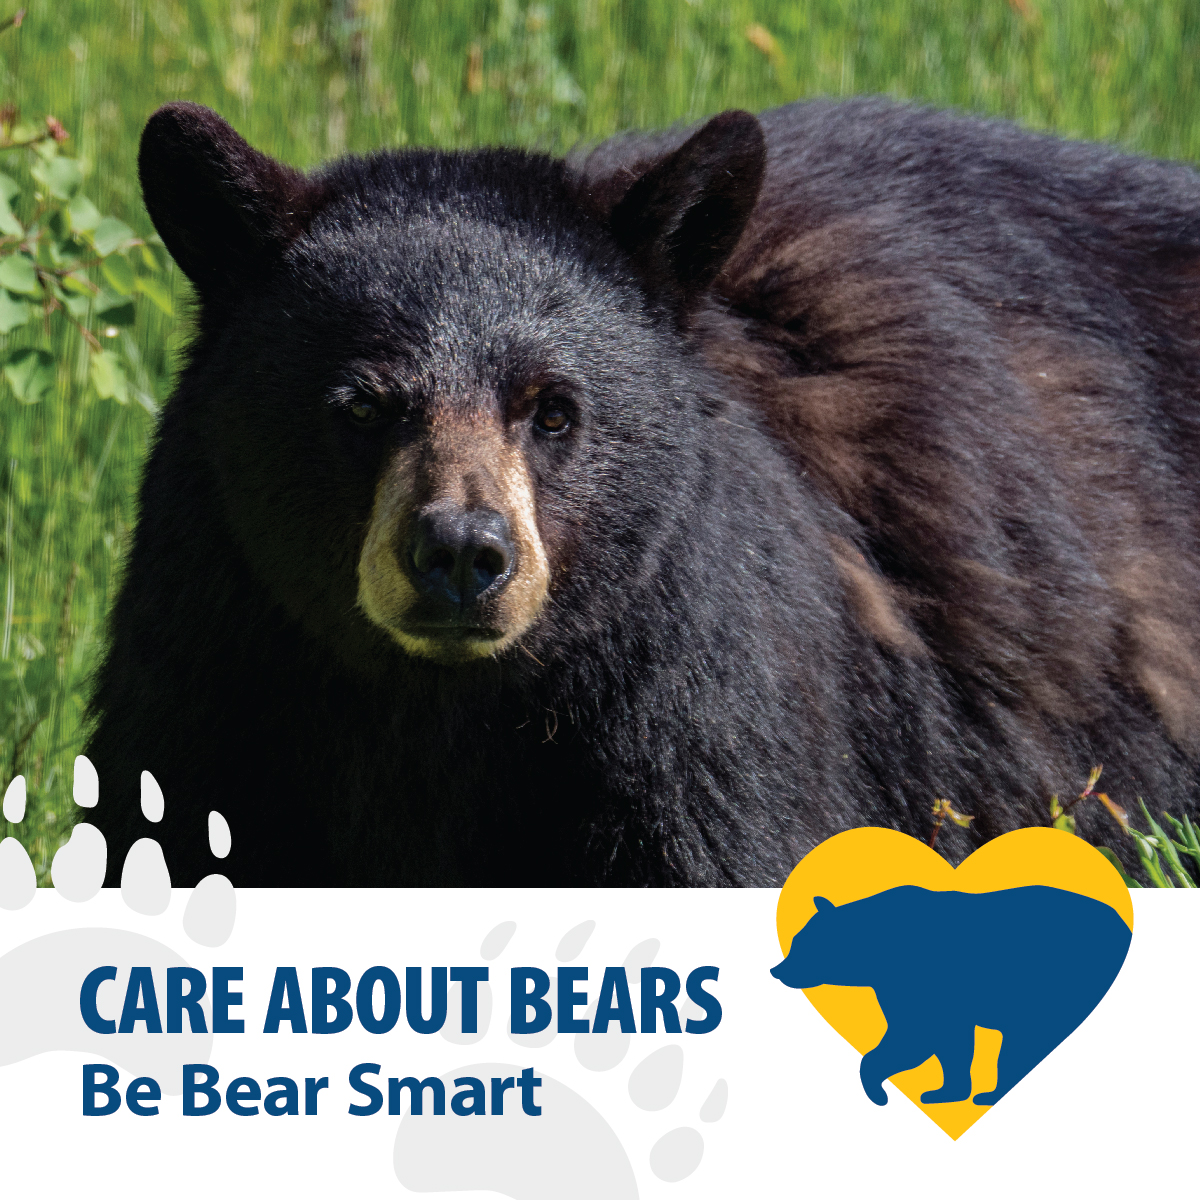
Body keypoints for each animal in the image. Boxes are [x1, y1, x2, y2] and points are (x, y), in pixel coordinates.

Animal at [84, 96, 1200, 886]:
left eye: (554, 409)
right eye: (360, 405)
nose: (461, 553)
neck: (437, 709)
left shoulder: (693, 684)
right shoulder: (219, 657)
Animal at [770, 886, 1132, 1106]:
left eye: (803, 944)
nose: (777, 970)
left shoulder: (922, 982)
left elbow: (916, 1036)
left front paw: (878, 1088)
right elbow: (945, 1043)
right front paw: (943, 1091)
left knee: (1029, 1040)